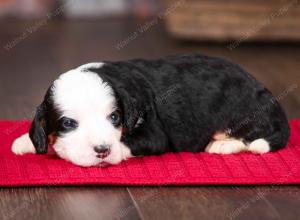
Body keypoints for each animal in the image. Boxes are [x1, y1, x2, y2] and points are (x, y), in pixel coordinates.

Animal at [12, 53, 290, 167]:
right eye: (69, 123)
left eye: (114, 117)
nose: (102, 150)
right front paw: (25, 142)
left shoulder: (154, 134)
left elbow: (128, 142)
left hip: (241, 109)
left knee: (254, 138)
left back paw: (222, 144)